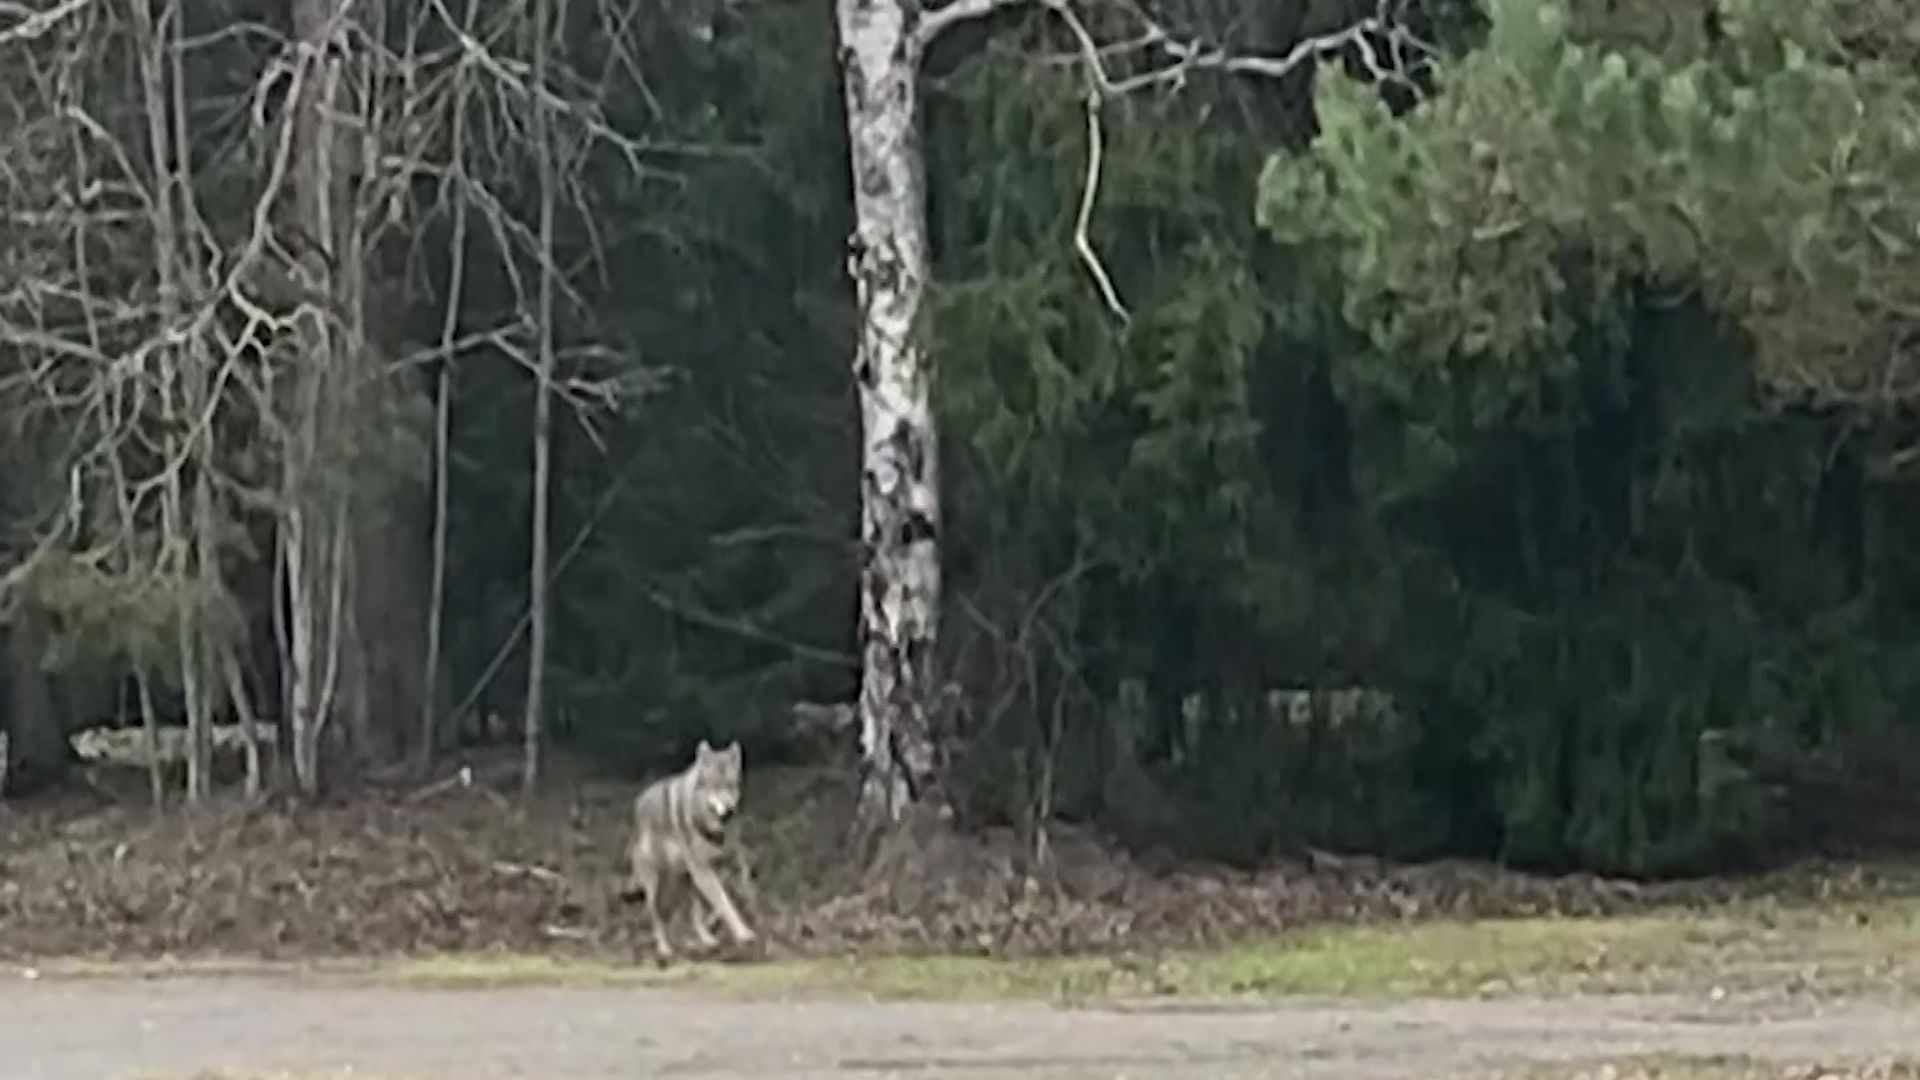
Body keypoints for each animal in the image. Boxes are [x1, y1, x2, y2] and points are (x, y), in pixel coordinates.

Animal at [622, 734, 756, 953]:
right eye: (714, 786)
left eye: (731, 785)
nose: (729, 812)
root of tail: (637, 806)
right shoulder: (703, 870)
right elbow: (724, 901)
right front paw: (743, 933)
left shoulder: (725, 862)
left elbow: (731, 896)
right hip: (659, 884)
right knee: (657, 916)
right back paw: (665, 949)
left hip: (687, 881)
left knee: (692, 914)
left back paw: (706, 939)